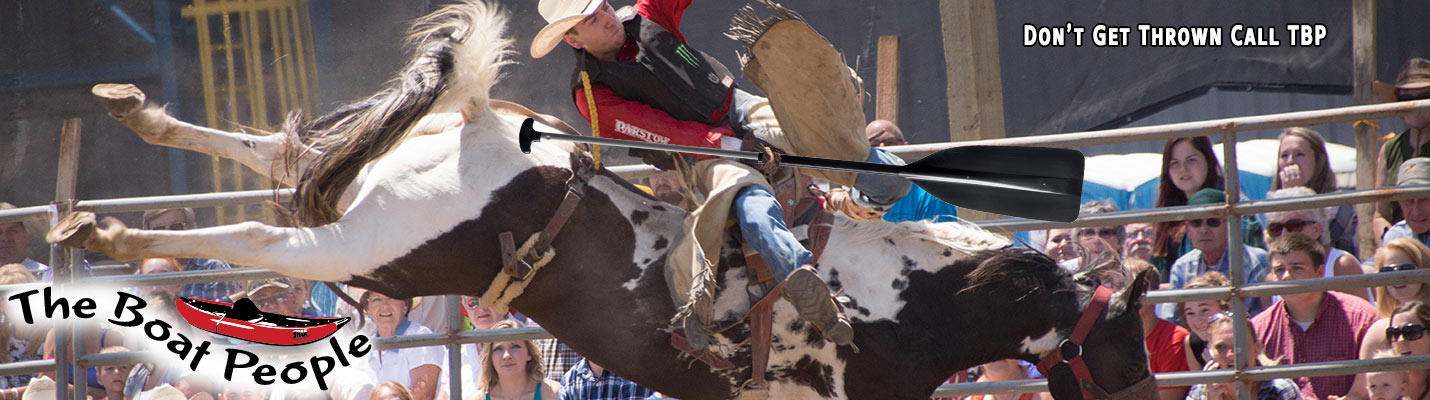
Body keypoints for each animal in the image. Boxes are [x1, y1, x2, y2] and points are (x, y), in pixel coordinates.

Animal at [50, 1, 1155, 397]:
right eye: (1127, 344)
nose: (1147, 392)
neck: (909, 299)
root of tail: (490, 131)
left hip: (371, 210)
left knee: (279, 151)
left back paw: (132, 124)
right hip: (375, 241)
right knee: (260, 230)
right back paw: (100, 228)